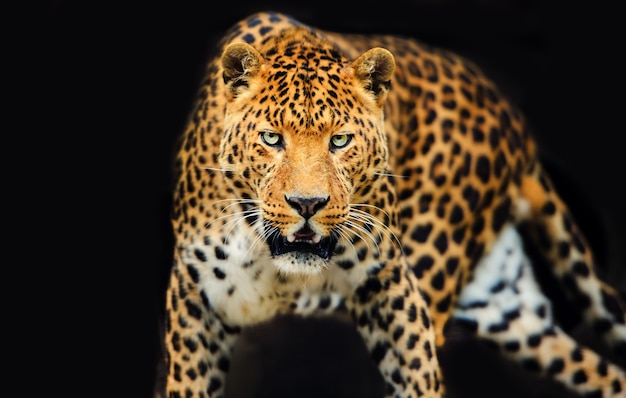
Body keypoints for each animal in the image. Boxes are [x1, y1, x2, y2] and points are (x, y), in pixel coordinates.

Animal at [162, 10, 624, 398]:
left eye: (340, 140)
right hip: (506, 307)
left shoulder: (391, 281)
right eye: (272, 138)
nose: (307, 204)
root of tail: (515, 123)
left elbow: (418, 374)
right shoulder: (193, 298)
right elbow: (186, 382)